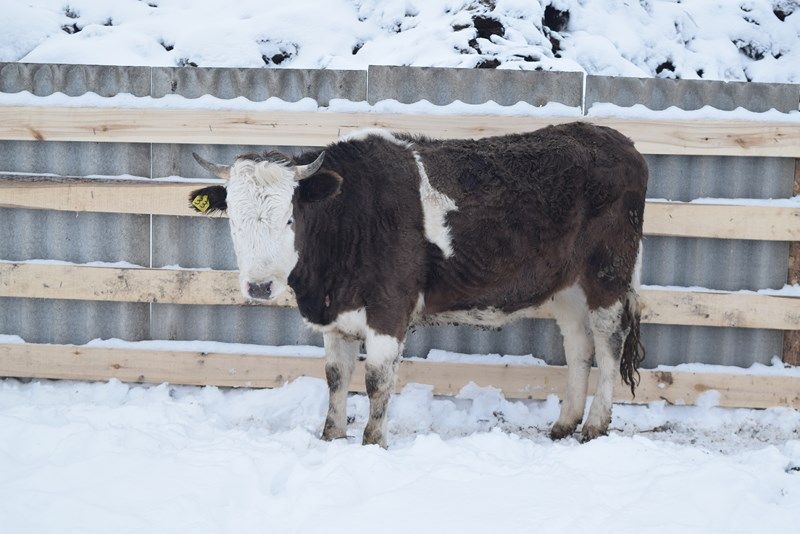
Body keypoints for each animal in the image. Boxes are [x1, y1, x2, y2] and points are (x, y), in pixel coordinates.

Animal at [191, 121, 648, 448]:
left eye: (289, 217)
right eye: (233, 220)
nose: (259, 287)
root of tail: (616, 139)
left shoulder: (389, 307)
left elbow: (376, 379)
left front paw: (373, 442)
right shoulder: (337, 316)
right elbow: (336, 377)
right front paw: (330, 437)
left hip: (607, 275)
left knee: (609, 343)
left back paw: (595, 426)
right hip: (567, 285)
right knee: (578, 345)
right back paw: (564, 423)